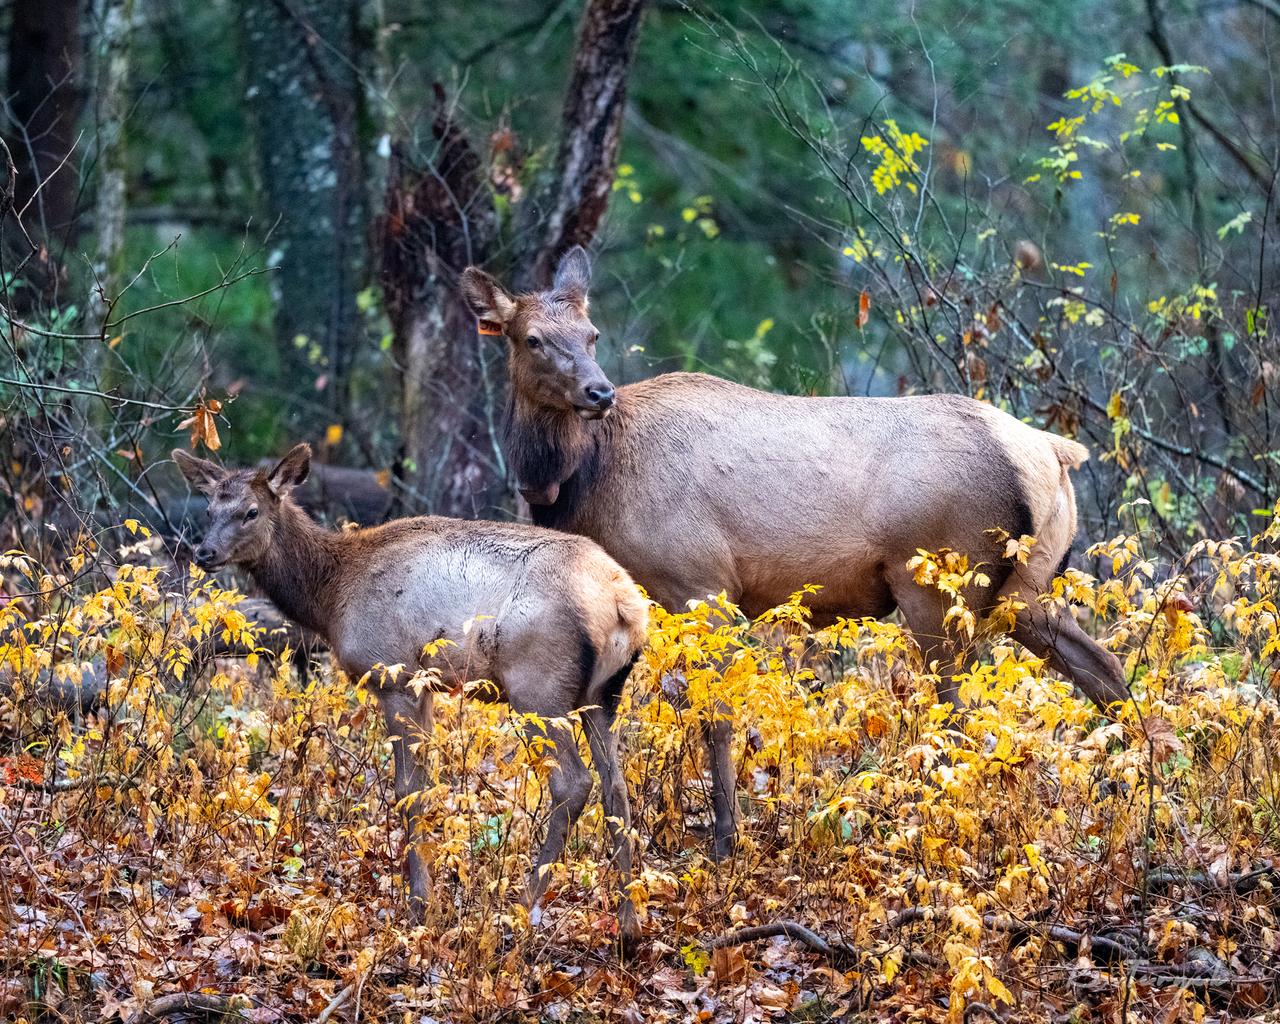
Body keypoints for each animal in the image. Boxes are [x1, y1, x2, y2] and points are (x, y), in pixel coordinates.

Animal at [172, 444, 648, 948]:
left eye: (251, 511)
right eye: (208, 509)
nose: (204, 552)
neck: (332, 595)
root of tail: (625, 606)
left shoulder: (394, 676)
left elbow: (408, 789)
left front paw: (420, 904)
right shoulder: (429, 687)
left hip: (538, 685)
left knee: (573, 783)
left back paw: (519, 910)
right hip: (603, 694)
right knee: (617, 787)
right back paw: (629, 925)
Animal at [461, 246, 1133, 859]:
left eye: (592, 333)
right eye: (532, 338)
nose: (599, 392)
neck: (589, 480)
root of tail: (1056, 454)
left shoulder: (703, 581)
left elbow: (717, 713)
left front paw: (727, 841)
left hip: (942, 585)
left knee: (958, 704)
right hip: (1031, 587)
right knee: (1103, 665)